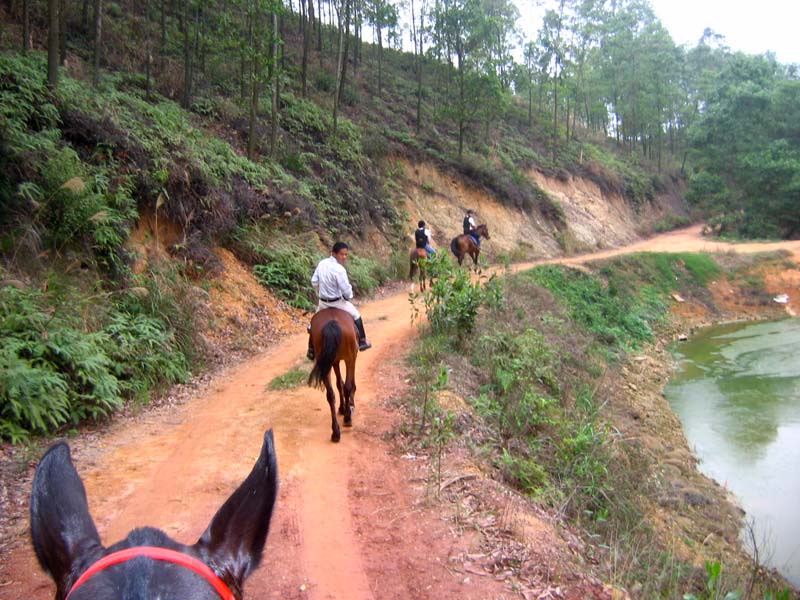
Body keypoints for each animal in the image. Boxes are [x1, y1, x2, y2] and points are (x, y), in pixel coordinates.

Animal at [306, 310, 356, 440]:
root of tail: (332, 323)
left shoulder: (334, 361)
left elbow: (339, 384)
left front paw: (342, 408)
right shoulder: (351, 359)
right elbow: (349, 384)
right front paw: (349, 406)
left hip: (326, 364)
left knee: (330, 394)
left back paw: (335, 432)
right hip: (349, 359)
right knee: (347, 387)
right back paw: (347, 419)